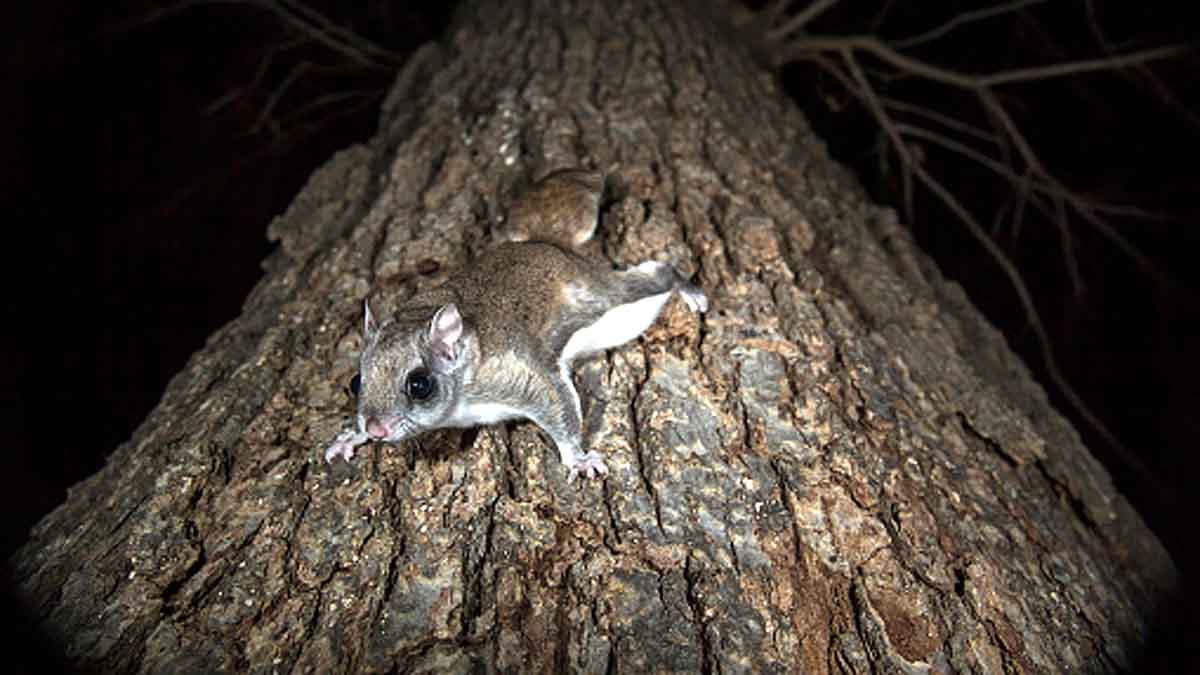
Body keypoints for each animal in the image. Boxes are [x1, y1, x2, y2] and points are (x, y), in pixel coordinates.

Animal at [323, 168, 708, 481]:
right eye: (356, 382)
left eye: (420, 385)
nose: (377, 429)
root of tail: (546, 244)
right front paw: (351, 436)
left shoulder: (520, 376)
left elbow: (560, 409)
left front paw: (578, 459)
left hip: (611, 305)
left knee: (657, 276)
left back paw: (689, 291)